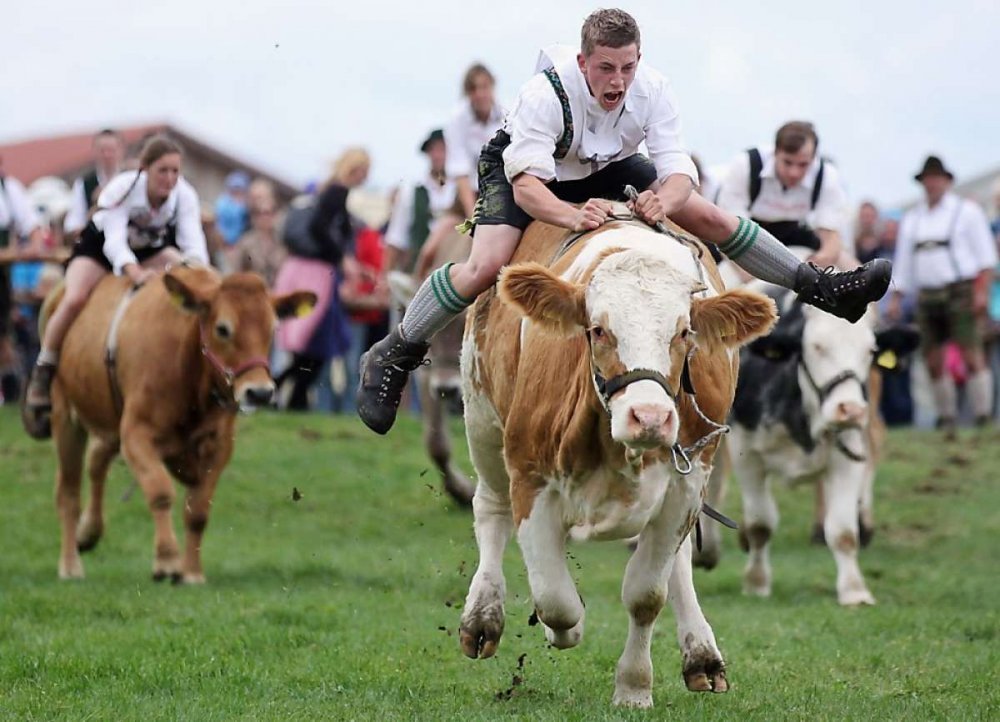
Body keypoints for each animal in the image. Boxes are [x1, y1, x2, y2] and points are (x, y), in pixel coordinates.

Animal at [46, 262, 312, 580]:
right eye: (223, 328)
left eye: (273, 328)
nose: (259, 392)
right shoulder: (136, 436)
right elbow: (160, 492)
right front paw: (167, 560)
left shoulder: (218, 447)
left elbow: (198, 511)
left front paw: (192, 572)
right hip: (66, 418)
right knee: (69, 492)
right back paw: (70, 564)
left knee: (96, 462)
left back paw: (88, 532)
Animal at [458, 211, 776, 704]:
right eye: (598, 329)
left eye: (683, 332)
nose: (650, 417)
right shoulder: (530, 478)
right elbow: (556, 600)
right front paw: (563, 629)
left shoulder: (686, 484)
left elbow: (646, 594)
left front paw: (634, 687)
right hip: (482, 422)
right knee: (490, 510)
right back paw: (482, 616)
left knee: (677, 563)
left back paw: (702, 654)